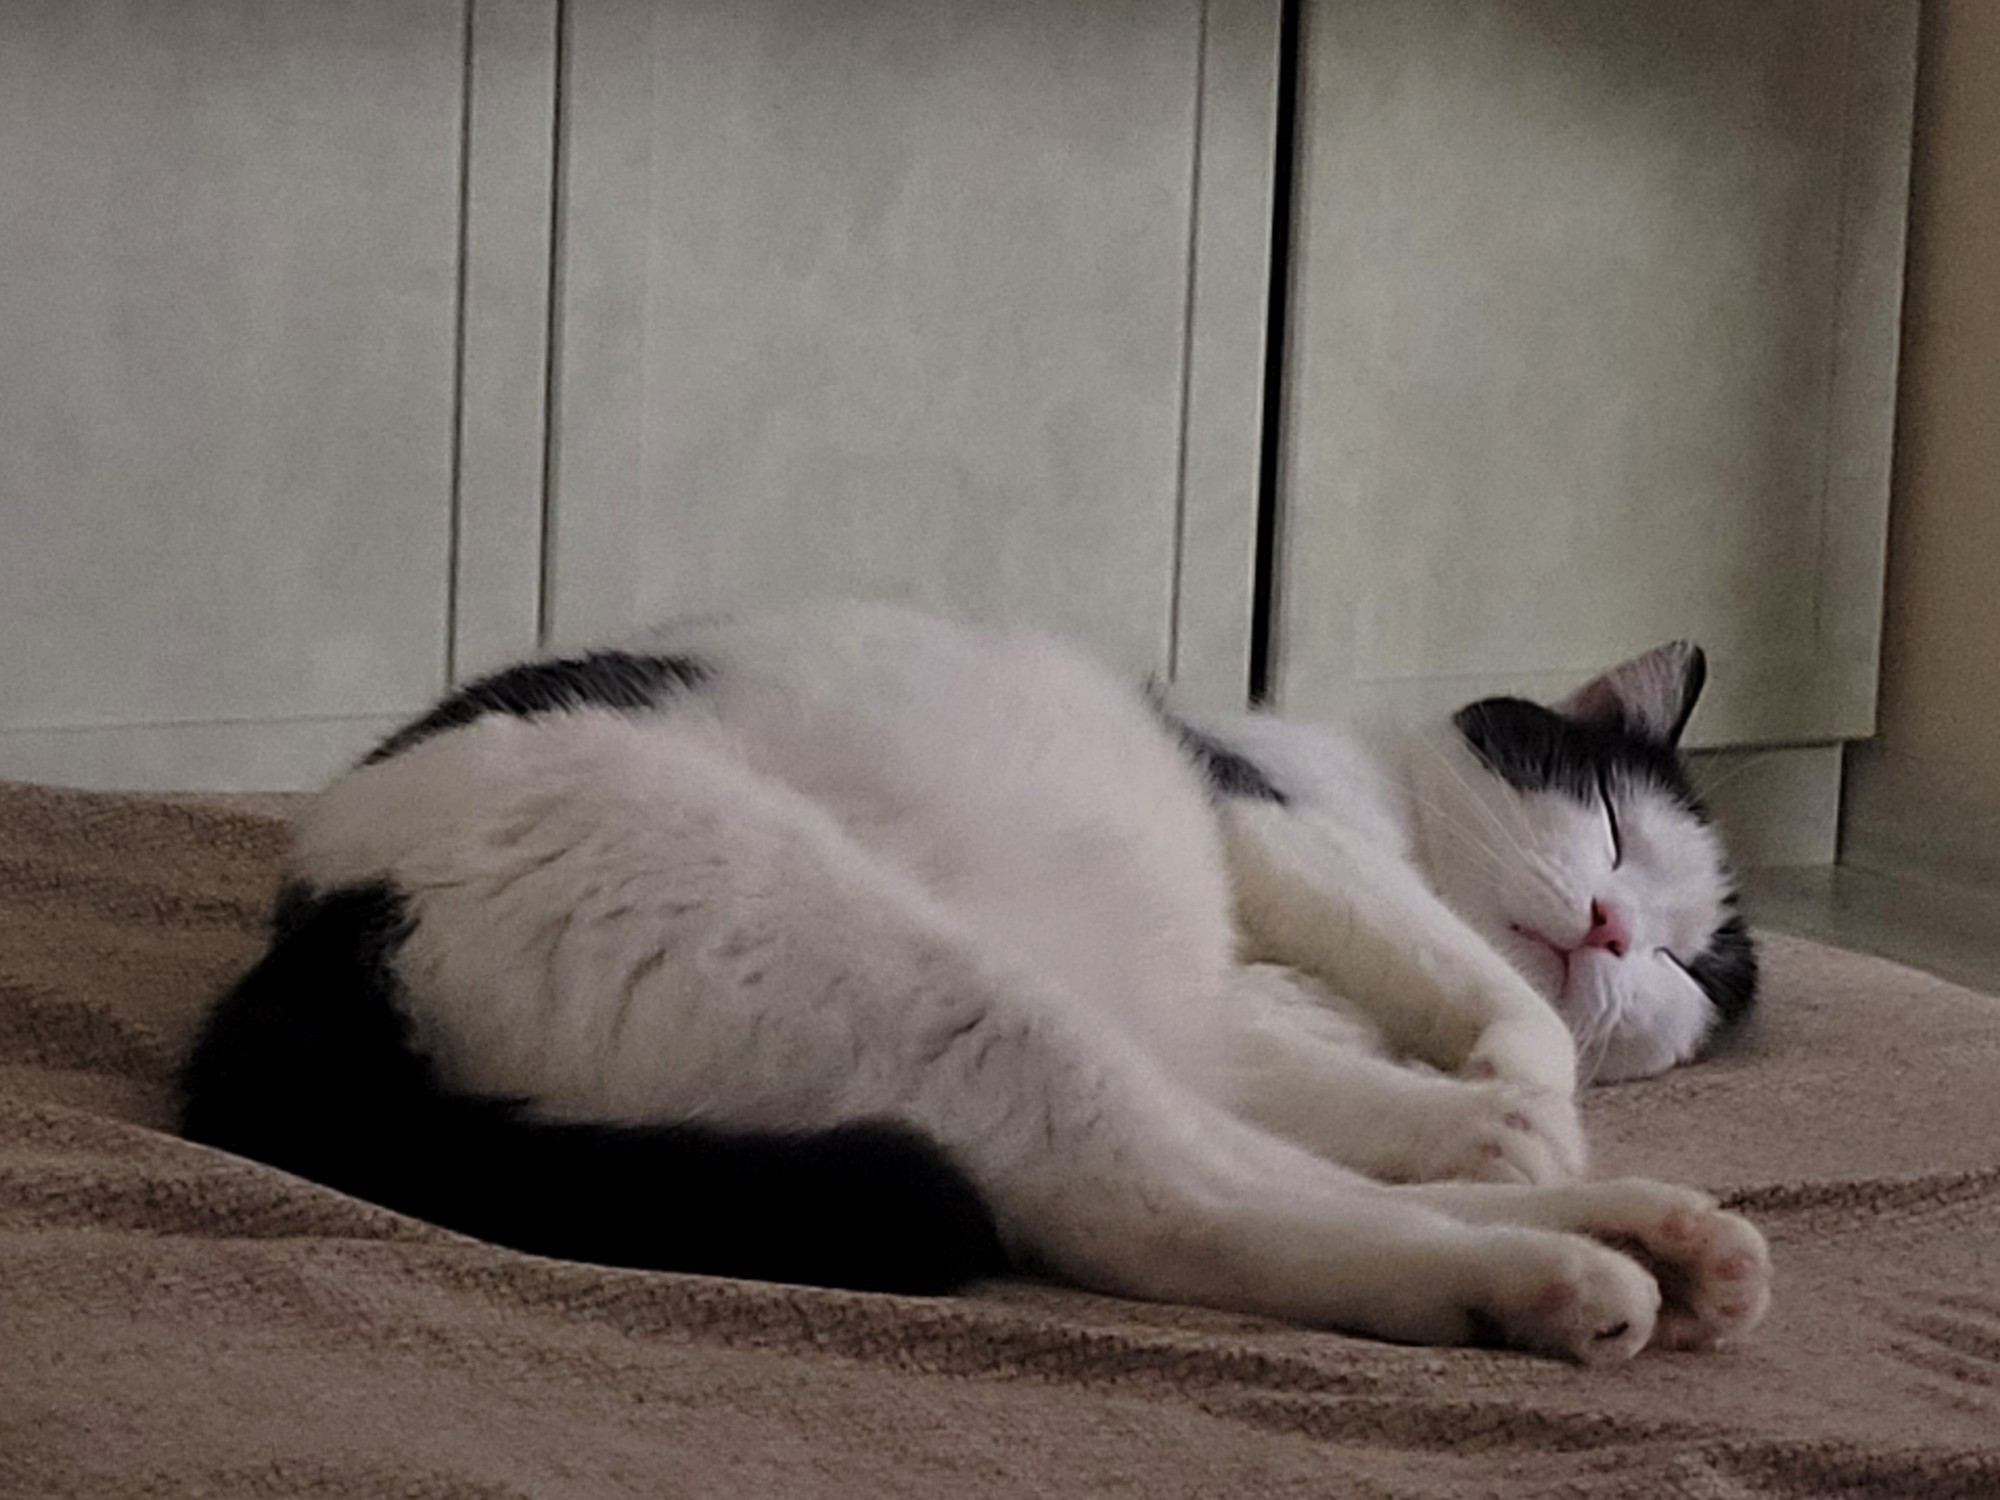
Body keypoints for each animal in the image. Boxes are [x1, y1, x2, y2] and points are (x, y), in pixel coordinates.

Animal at [176, 600, 1768, 1360]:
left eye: (1684, 969)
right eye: (1610, 826)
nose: (1613, 932)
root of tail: (319, 921)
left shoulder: (1214, 1018)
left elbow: (1335, 1104)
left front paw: (1492, 1122)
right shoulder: (1265, 819)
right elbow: (1461, 983)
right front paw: (1517, 1090)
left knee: (1237, 1169)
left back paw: (1647, 1240)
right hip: (919, 982)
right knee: (1165, 1202)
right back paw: (1549, 1277)